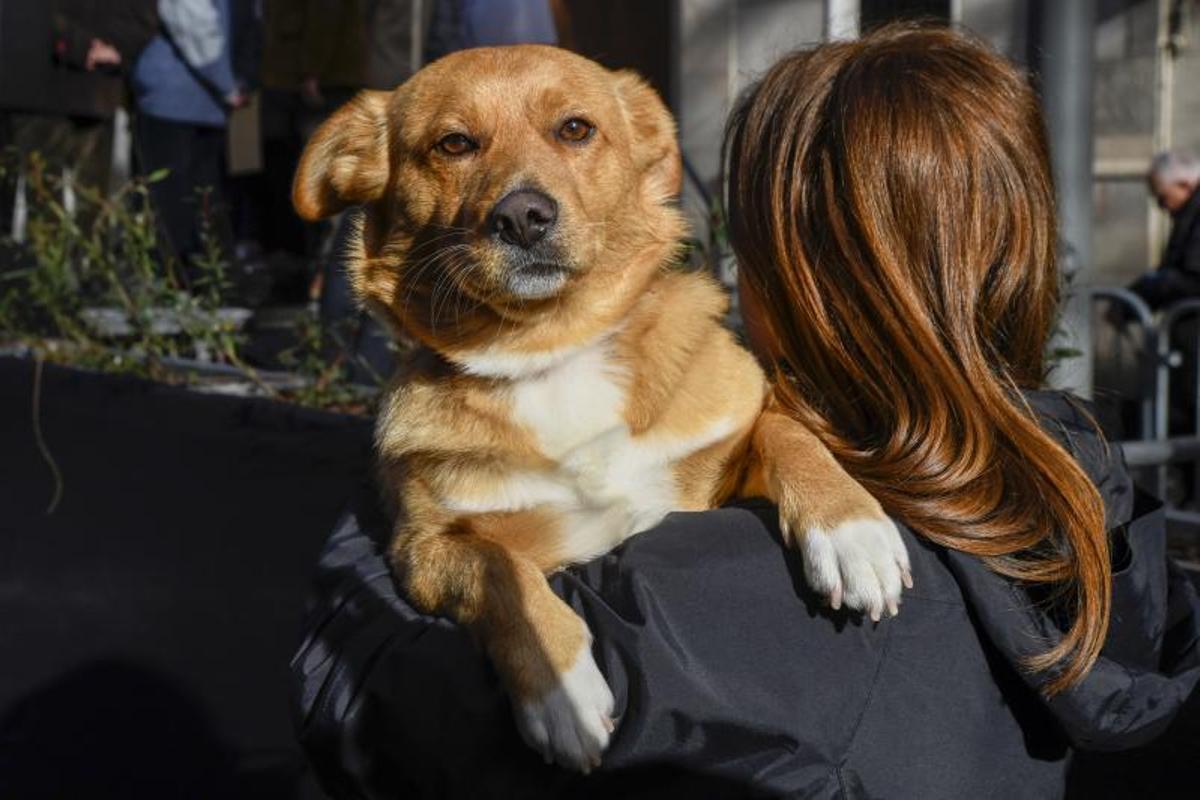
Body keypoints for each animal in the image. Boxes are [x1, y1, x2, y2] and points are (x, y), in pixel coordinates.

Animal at [292, 47, 907, 772]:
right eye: (454, 144)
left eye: (576, 129)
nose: (522, 216)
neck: (551, 351)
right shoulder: (424, 547)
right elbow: (499, 569)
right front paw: (559, 686)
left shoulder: (729, 447)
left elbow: (784, 427)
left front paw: (849, 529)